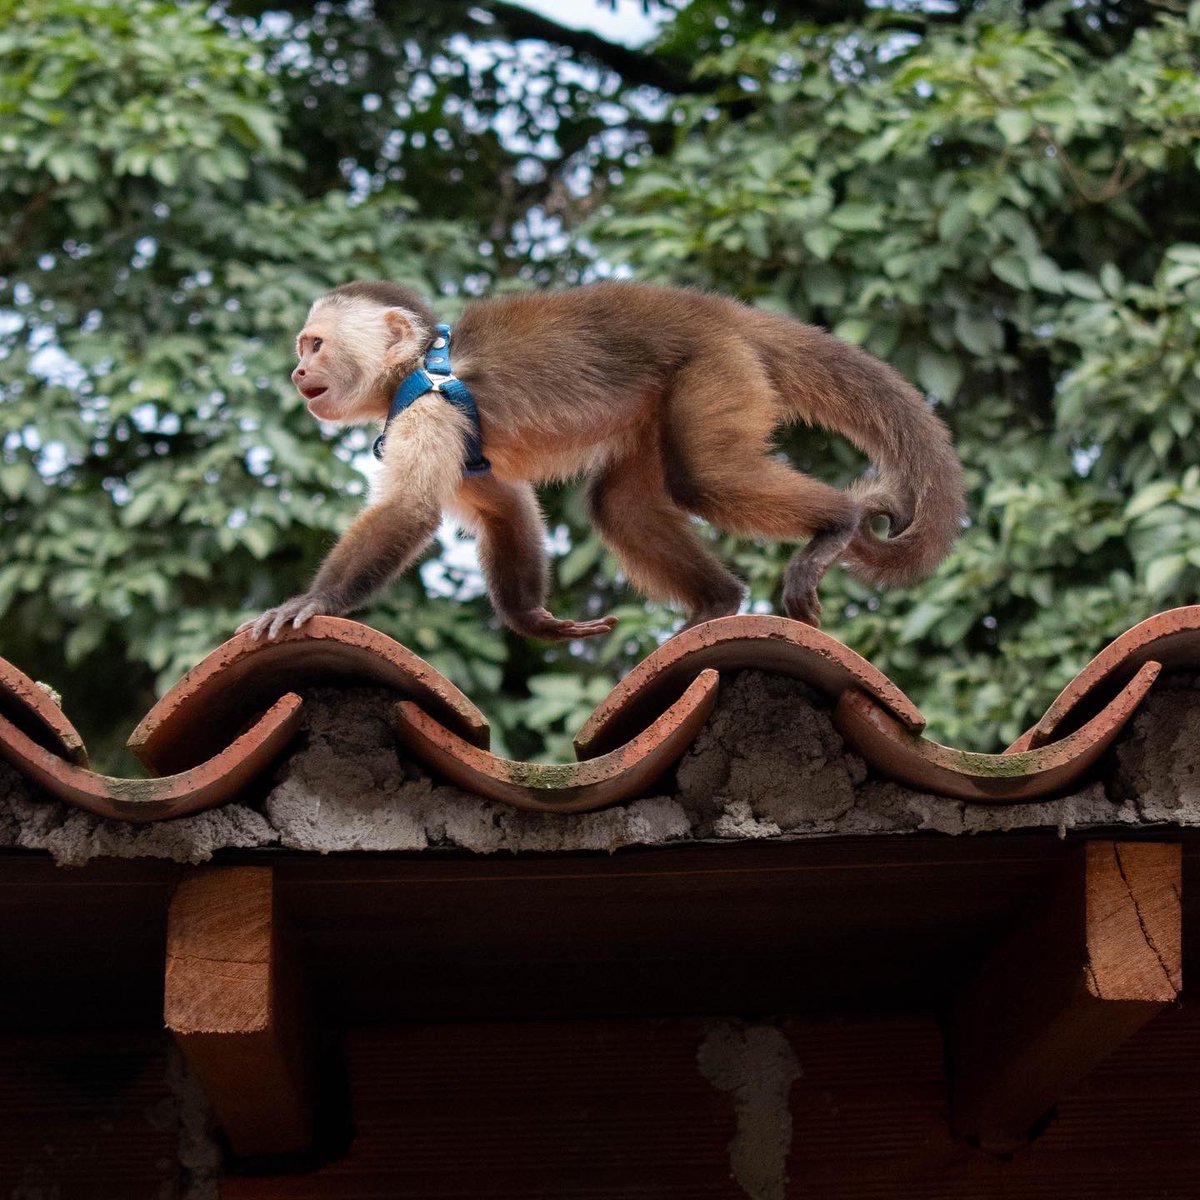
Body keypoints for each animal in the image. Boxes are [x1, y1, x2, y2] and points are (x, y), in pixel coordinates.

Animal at [242, 280, 965, 642]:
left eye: (314, 343)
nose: (297, 369)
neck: (420, 364)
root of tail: (724, 314)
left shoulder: (427, 408)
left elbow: (409, 508)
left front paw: (315, 600)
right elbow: (504, 510)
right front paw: (533, 619)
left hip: (715, 367)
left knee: (704, 478)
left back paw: (838, 526)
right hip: (663, 399)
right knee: (618, 503)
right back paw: (718, 601)